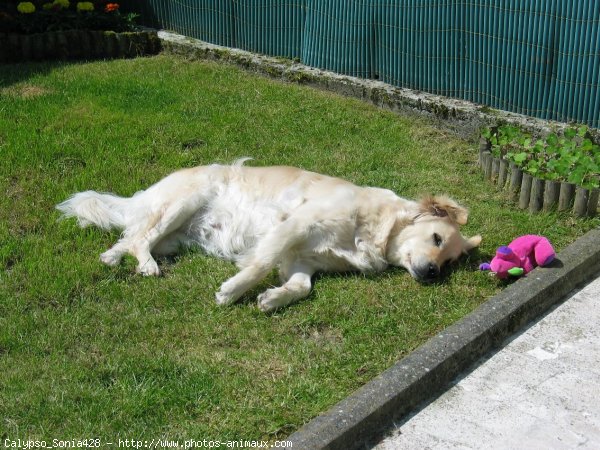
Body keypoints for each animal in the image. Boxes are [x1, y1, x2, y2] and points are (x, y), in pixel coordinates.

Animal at [55, 160, 478, 312]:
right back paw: (144, 265)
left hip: (174, 236)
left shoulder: (301, 260)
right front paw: (232, 291)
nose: (433, 273)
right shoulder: (295, 224)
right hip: (184, 201)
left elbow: (301, 287)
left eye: (449, 262)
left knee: (131, 236)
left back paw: (113, 258)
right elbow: (260, 263)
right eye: (437, 239)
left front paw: (272, 299)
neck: (375, 228)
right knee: (140, 237)